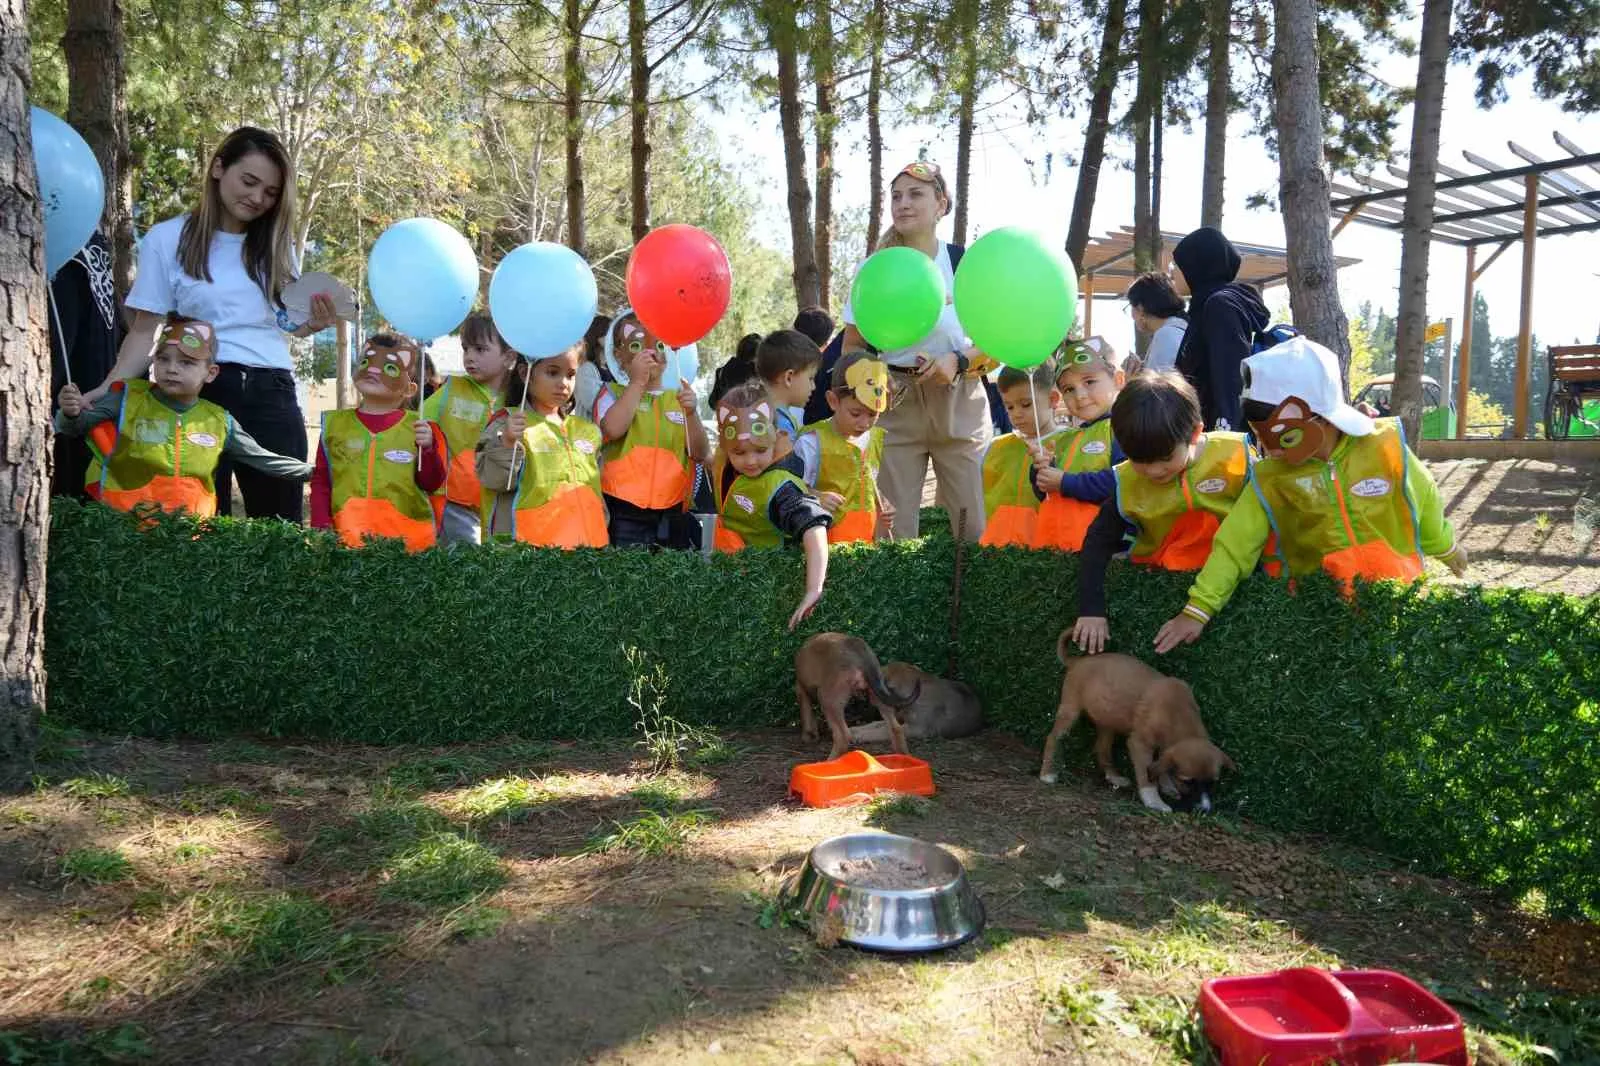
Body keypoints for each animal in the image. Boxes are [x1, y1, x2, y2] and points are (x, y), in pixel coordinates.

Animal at [793, 630, 921, 755]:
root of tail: (856, 646)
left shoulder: (801, 690)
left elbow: (806, 715)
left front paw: (808, 736)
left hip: (828, 700)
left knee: (843, 737)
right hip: (878, 695)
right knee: (896, 728)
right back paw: (902, 755)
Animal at [1036, 630, 1235, 813]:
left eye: (1212, 783)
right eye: (1188, 781)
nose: (1204, 810)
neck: (1178, 714)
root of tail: (1078, 661)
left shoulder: (1165, 746)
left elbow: (1161, 765)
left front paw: (1167, 785)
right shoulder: (1139, 744)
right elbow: (1147, 773)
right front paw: (1155, 801)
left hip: (1108, 720)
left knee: (1101, 748)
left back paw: (1114, 777)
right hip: (1070, 709)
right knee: (1053, 737)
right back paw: (1047, 773)